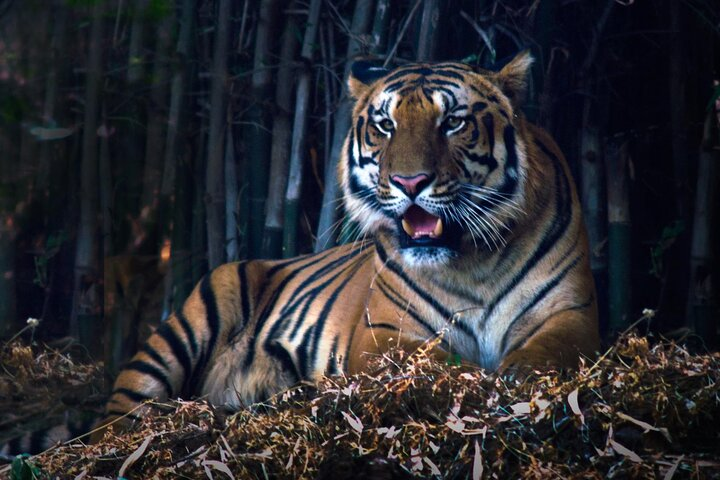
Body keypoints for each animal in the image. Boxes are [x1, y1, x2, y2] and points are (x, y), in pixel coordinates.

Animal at [97, 51, 599, 438]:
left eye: (453, 122)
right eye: (385, 124)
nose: (409, 182)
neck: (474, 260)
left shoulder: (572, 313)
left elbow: (549, 350)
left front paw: (515, 375)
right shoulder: (383, 332)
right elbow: (436, 364)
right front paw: (477, 381)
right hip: (188, 325)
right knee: (117, 417)